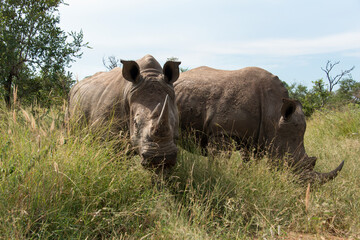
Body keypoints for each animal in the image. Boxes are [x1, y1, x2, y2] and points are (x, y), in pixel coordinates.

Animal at [176, 66, 344, 183]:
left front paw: (243, 176)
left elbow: (248, 162)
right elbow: (220, 162)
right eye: (289, 162)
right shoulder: (222, 132)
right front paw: (216, 176)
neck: (274, 113)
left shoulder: (257, 138)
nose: (303, 187)